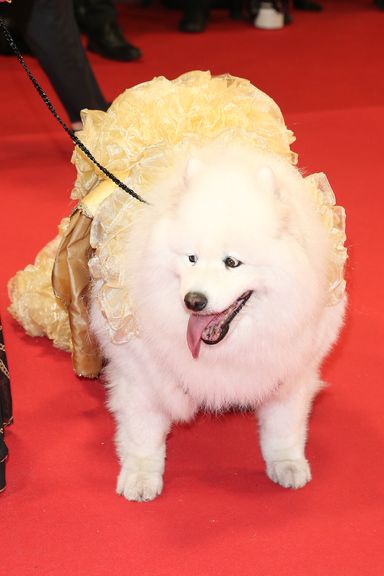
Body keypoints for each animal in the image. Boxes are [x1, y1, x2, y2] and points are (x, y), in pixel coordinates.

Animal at [89, 143, 344, 500]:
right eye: (191, 258)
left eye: (232, 262)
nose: (193, 301)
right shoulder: (140, 371)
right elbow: (142, 431)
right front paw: (140, 477)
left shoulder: (291, 368)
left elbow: (284, 426)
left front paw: (287, 464)